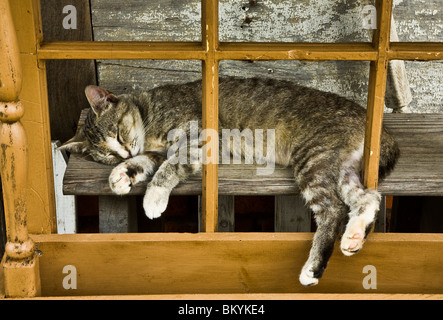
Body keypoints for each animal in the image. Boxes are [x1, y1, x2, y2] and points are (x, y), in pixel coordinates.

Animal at [59, 76, 398, 286]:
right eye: (106, 153)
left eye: (117, 132)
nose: (124, 151)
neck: (147, 111)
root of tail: (373, 124)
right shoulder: (155, 151)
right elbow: (146, 162)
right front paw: (121, 174)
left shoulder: (199, 138)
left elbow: (169, 168)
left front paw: (154, 198)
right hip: (341, 169)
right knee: (368, 198)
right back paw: (353, 236)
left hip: (313, 161)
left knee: (333, 209)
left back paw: (313, 268)